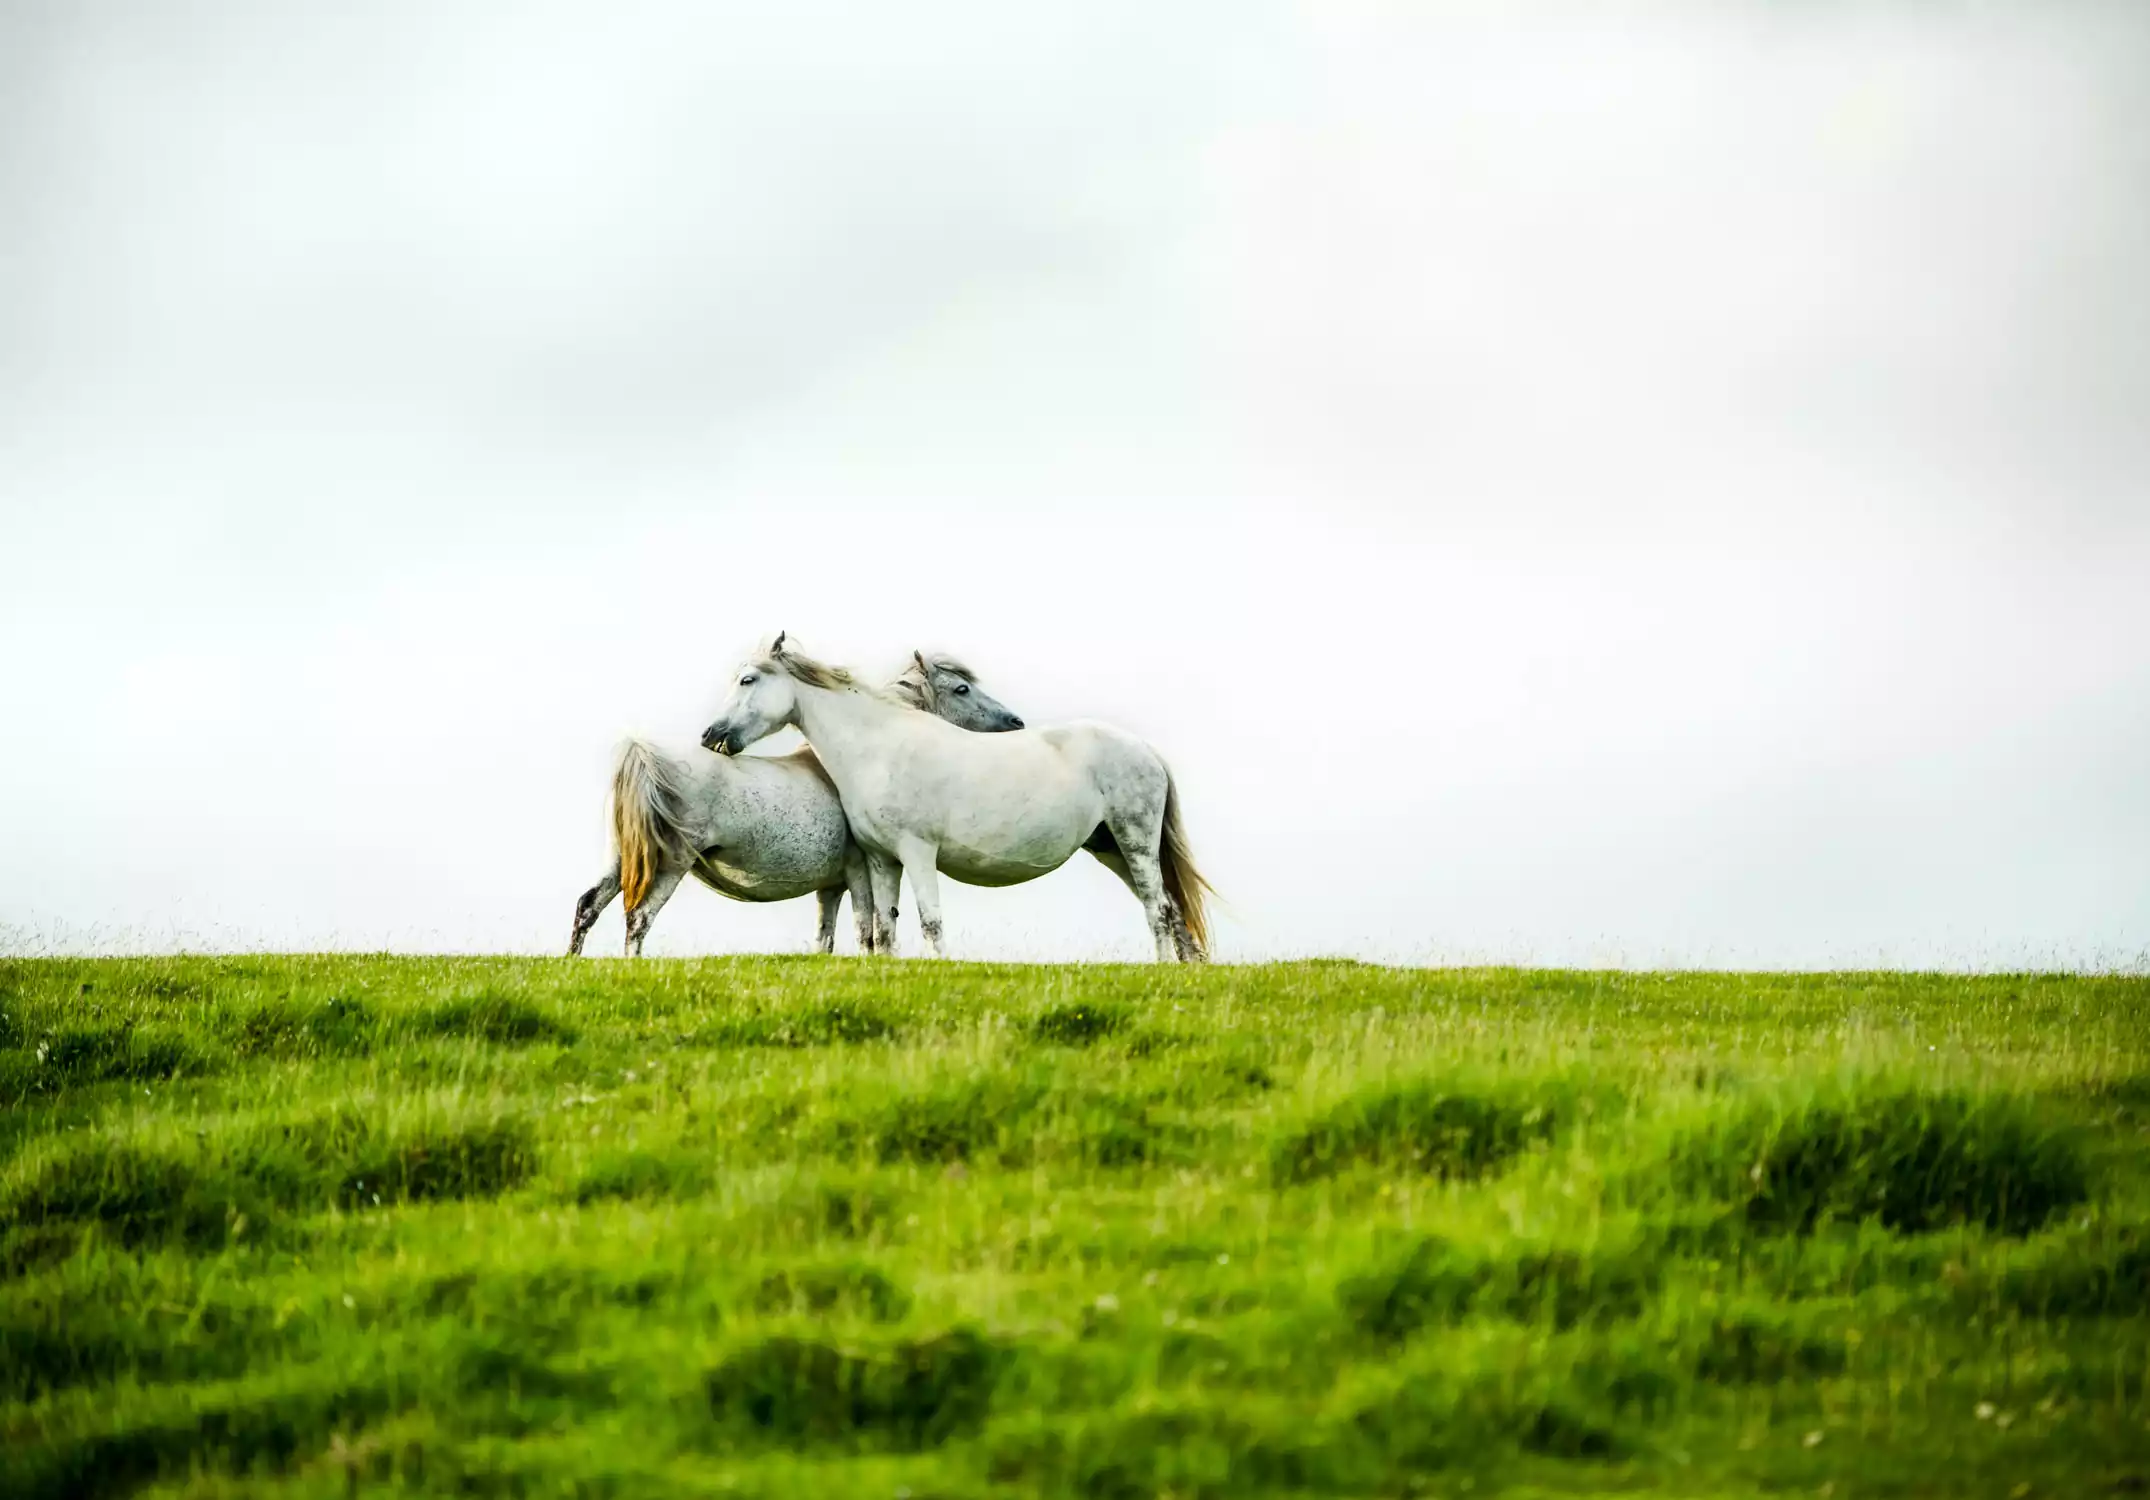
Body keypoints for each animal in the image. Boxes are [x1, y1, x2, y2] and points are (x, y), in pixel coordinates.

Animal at [569, 652, 1024, 957]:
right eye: (962, 688)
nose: (1015, 722)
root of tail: (645, 755)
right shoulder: (860, 871)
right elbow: (868, 932)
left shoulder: (831, 886)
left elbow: (826, 939)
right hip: (670, 865)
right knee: (639, 919)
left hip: (620, 862)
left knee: (589, 906)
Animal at [699, 633, 1210, 963]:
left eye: (747, 680)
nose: (711, 736)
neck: (878, 747)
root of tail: (1145, 750)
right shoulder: (882, 860)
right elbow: (885, 925)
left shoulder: (918, 852)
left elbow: (930, 920)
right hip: (1112, 848)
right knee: (1168, 907)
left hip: (1134, 841)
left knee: (1158, 909)